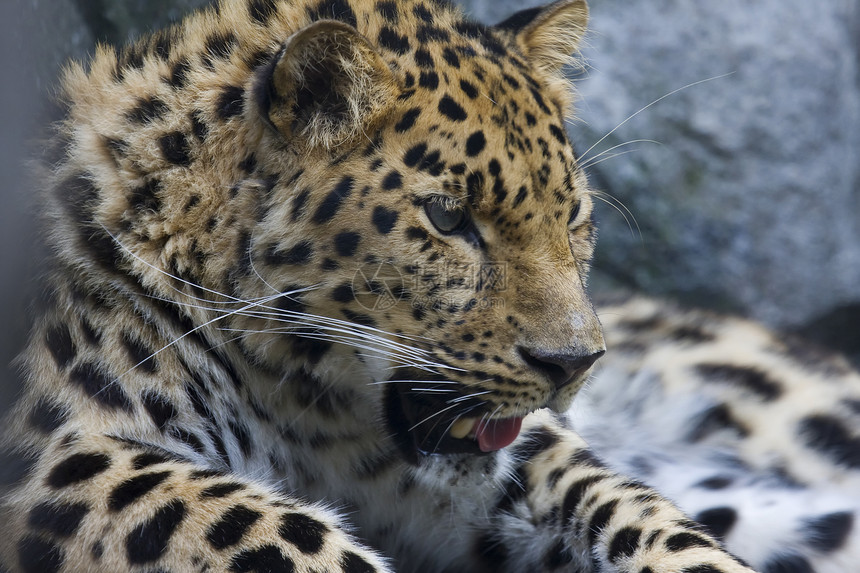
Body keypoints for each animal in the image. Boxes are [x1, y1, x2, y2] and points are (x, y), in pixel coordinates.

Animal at [0, 0, 856, 568]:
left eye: (574, 217)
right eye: (449, 218)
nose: (575, 365)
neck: (307, 411)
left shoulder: (518, 462)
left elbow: (638, 509)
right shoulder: (61, 454)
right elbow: (280, 533)